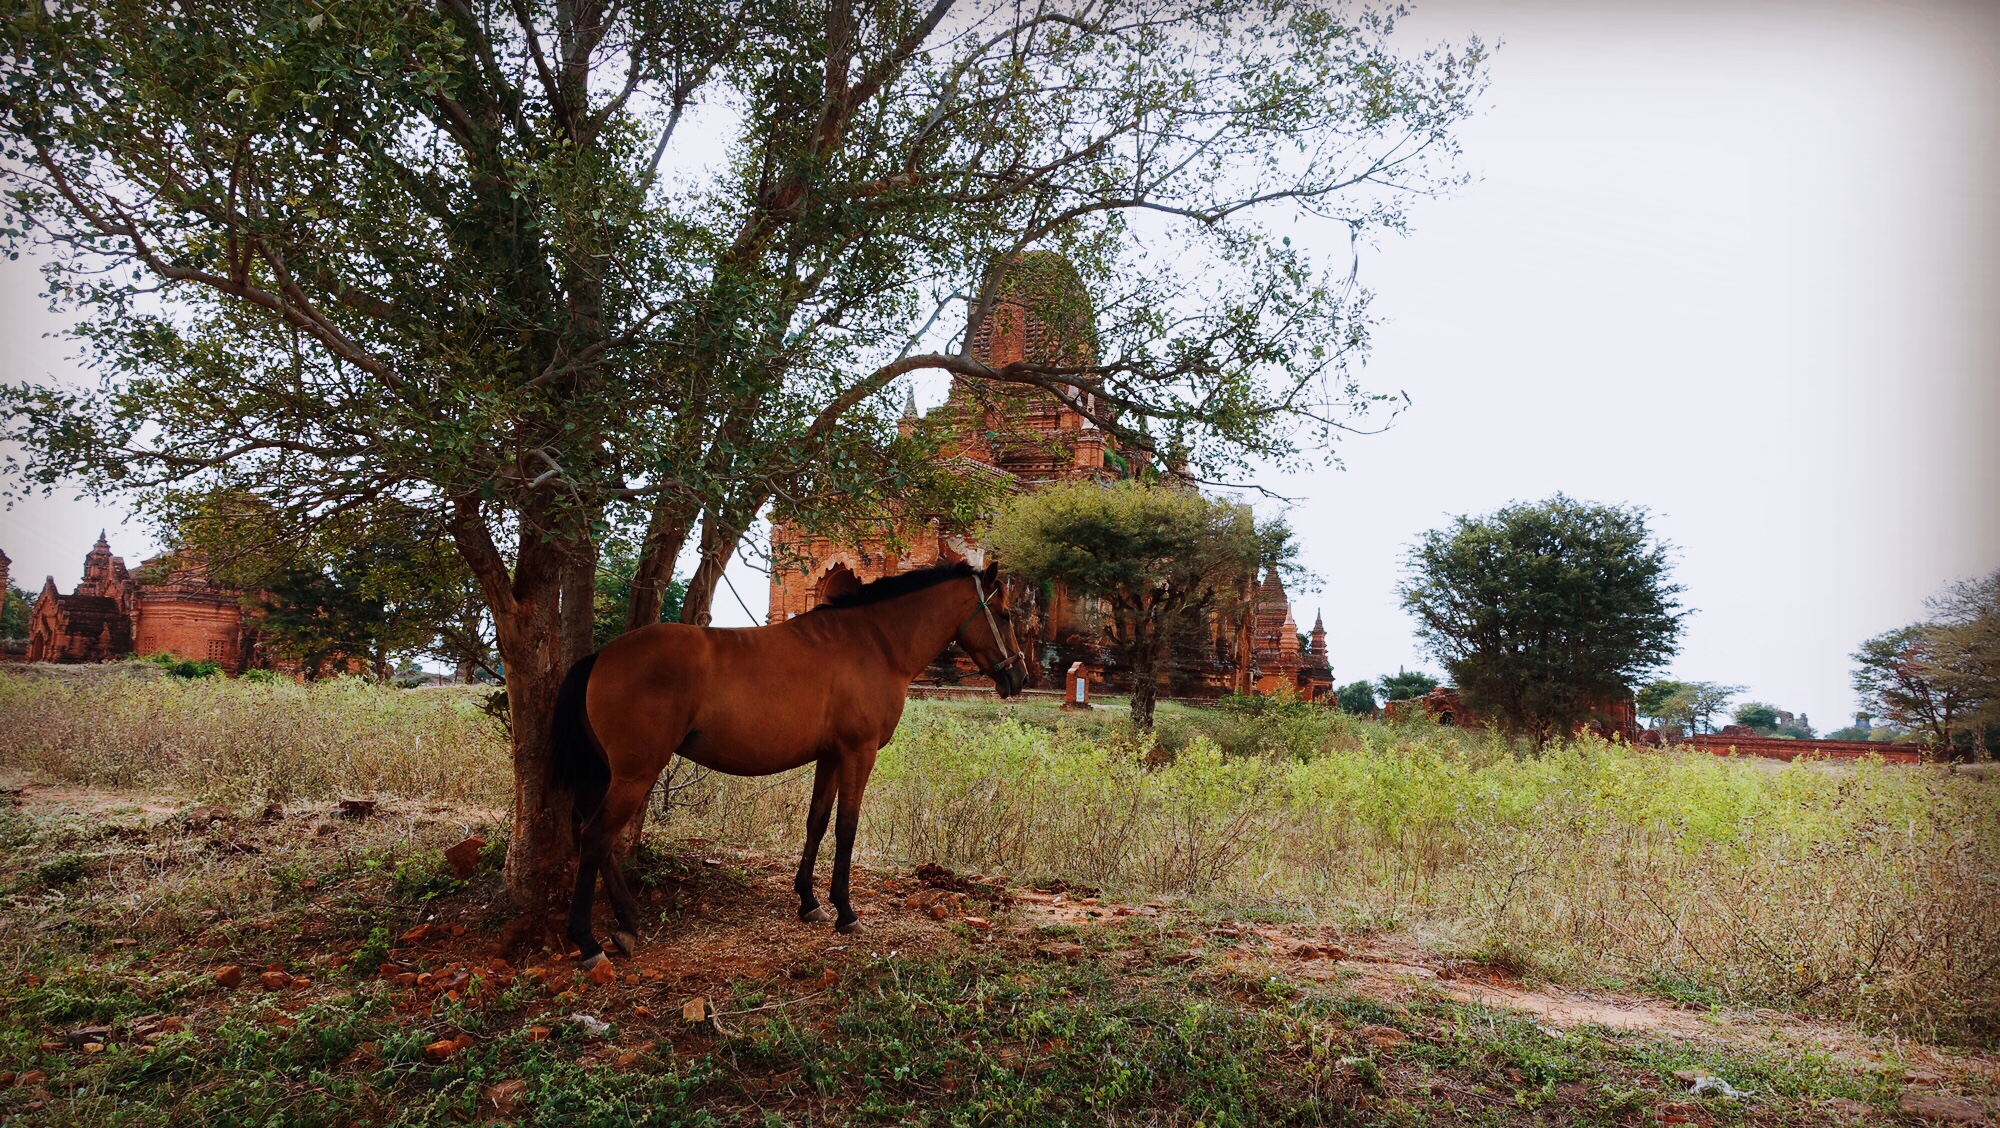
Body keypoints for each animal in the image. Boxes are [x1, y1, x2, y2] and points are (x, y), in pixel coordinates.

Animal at [548, 560, 1024, 964]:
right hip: (635, 774)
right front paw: (845, 911)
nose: (1018, 677)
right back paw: (588, 943)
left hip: (608, 775)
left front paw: (809, 902)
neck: (874, 642)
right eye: (1004, 614)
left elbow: (817, 822)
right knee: (596, 838)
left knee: (594, 836)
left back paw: (627, 926)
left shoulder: (831, 756)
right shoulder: (858, 753)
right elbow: (846, 828)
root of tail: (601, 656)